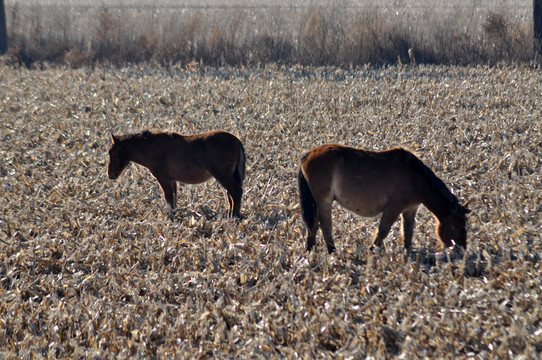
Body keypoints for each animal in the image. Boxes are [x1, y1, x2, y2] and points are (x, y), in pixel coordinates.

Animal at [107, 130, 246, 218]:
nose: (110, 175)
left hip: (223, 176)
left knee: (236, 192)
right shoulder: (172, 180)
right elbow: (173, 199)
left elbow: (169, 199)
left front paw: (170, 218)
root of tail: (235, 140)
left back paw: (235, 216)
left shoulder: (164, 179)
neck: (151, 147)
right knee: (231, 194)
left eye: (111, 152)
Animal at [298, 143, 472, 253]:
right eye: (457, 227)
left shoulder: (410, 209)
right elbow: (383, 230)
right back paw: (331, 251)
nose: (461, 251)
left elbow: (408, 232)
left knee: (313, 225)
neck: (417, 178)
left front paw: (409, 253)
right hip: (324, 202)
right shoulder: (393, 208)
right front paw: (372, 251)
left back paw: (310, 251)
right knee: (325, 225)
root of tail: (307, 155)